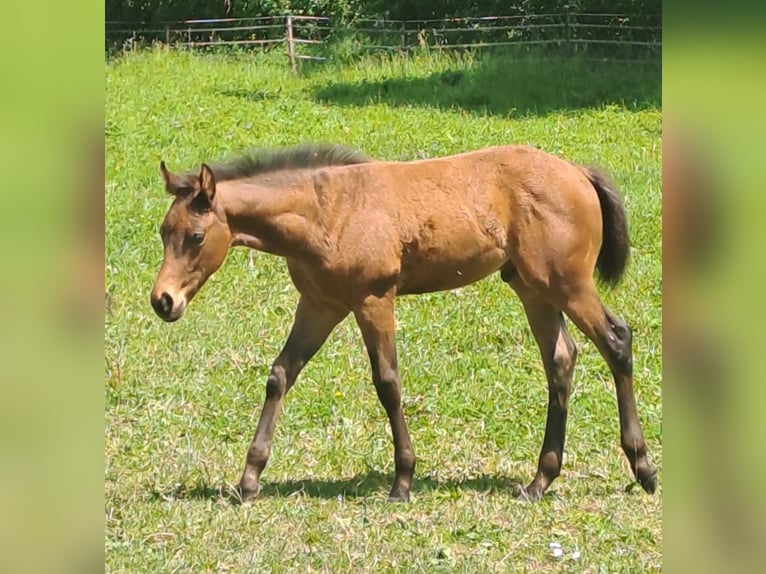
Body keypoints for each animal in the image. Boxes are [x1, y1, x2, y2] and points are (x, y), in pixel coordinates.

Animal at [150, 143, 658, 502]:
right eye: (162, 231)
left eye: (196, 237)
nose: (163, 301)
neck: (328, 210)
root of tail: (579, 173)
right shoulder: (320, 304)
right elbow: (280, 375)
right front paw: (248, 479)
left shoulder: (374, 299)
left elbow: (387, 383)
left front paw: (402, 481)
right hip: (532, 286)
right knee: (561, 360)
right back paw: (539, 481)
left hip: (567, 283)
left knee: (616, 340)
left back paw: (644, 469)